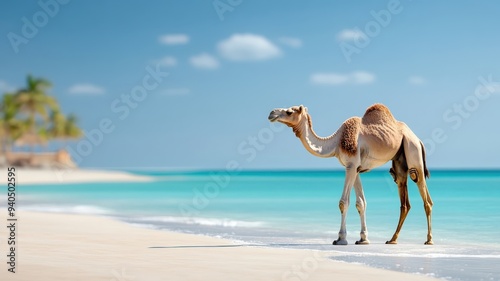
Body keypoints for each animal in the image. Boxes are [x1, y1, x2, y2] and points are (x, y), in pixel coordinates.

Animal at [266, 104, 434, 244]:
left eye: (289, 111)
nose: (271, 113)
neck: (336, 142)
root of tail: (418, 140)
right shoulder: (355, 168)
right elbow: (361, 203)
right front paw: (363, 239)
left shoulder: (351, 166)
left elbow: (343, 202)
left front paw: (340, 239)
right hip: (400, 159)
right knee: (404, 199)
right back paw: (392, 239)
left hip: (412, 150)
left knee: (424, 194)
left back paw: (429, 240)